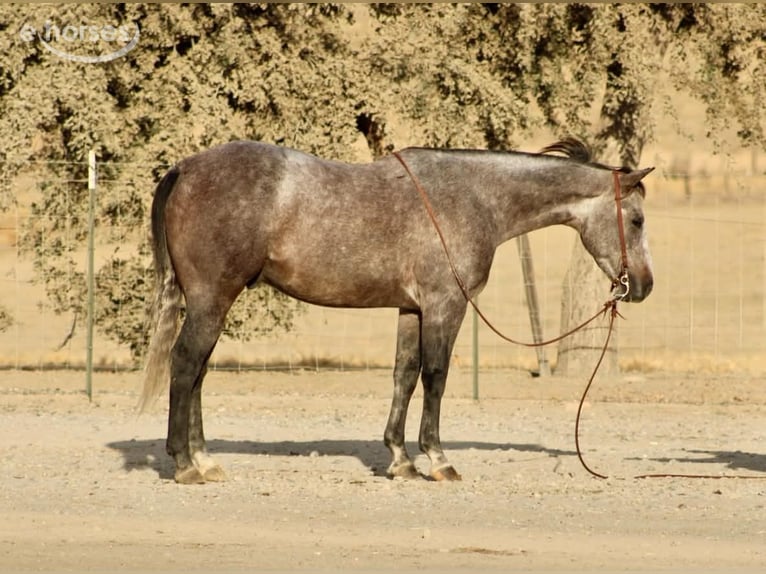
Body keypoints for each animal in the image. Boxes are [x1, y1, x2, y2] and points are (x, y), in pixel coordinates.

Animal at [140, 138, 654, 484]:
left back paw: (205, 460)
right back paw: (184, 465)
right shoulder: (446, 306)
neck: (473, 197)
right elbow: (435, 377)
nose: (644, 286)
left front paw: (401, 460)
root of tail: (186, 168)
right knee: (185, 365)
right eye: (637, 220)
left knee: (198, 372)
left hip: (213, 303)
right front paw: (438, 460)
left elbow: (404, 375)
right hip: (212, 300)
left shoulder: (412, 310)